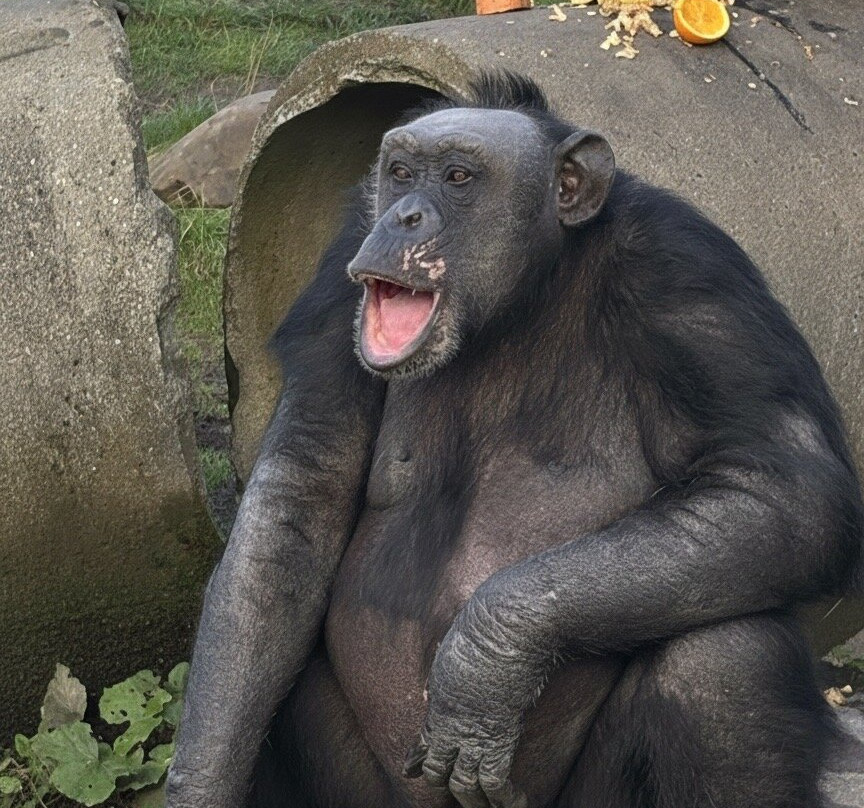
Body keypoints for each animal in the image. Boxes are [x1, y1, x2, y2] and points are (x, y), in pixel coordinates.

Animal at [166, 72, 863, 808]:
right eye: (400, 172)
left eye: (459, 176)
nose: (404, 215)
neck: (522, 295)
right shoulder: (338, 276)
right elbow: (297, 507)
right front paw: (203, 783)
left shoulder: (693, 281)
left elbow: (781, 482)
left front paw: (485, 660)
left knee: (722, 657)